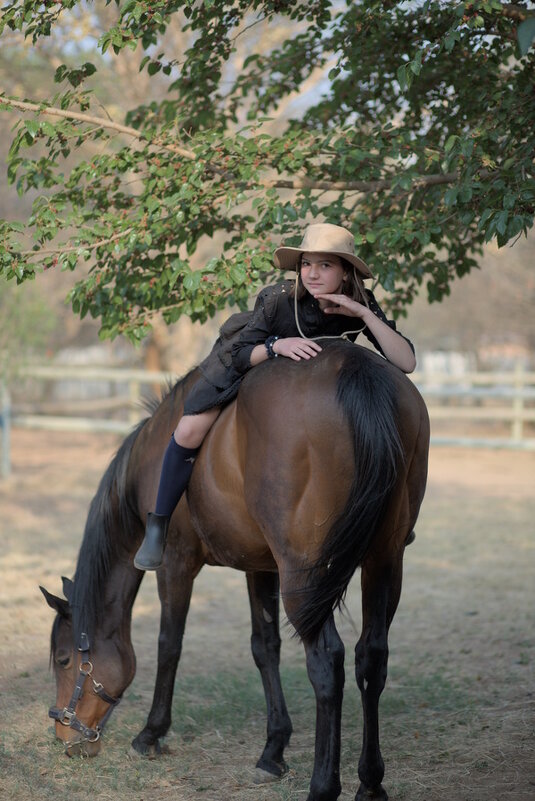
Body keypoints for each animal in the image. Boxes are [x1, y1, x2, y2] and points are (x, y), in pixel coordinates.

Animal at [42, 340, 430, 796]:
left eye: (64, 660)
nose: (64, 736)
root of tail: (353, 367)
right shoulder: (260, 568)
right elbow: (265, 647)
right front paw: (273, 749)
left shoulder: (175, 564)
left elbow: (169, 644)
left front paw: (151, 733)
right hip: (383, 561)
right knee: (371, 656)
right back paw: (370, 782)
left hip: (305, 577)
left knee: (327, 663)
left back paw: (323, 784)